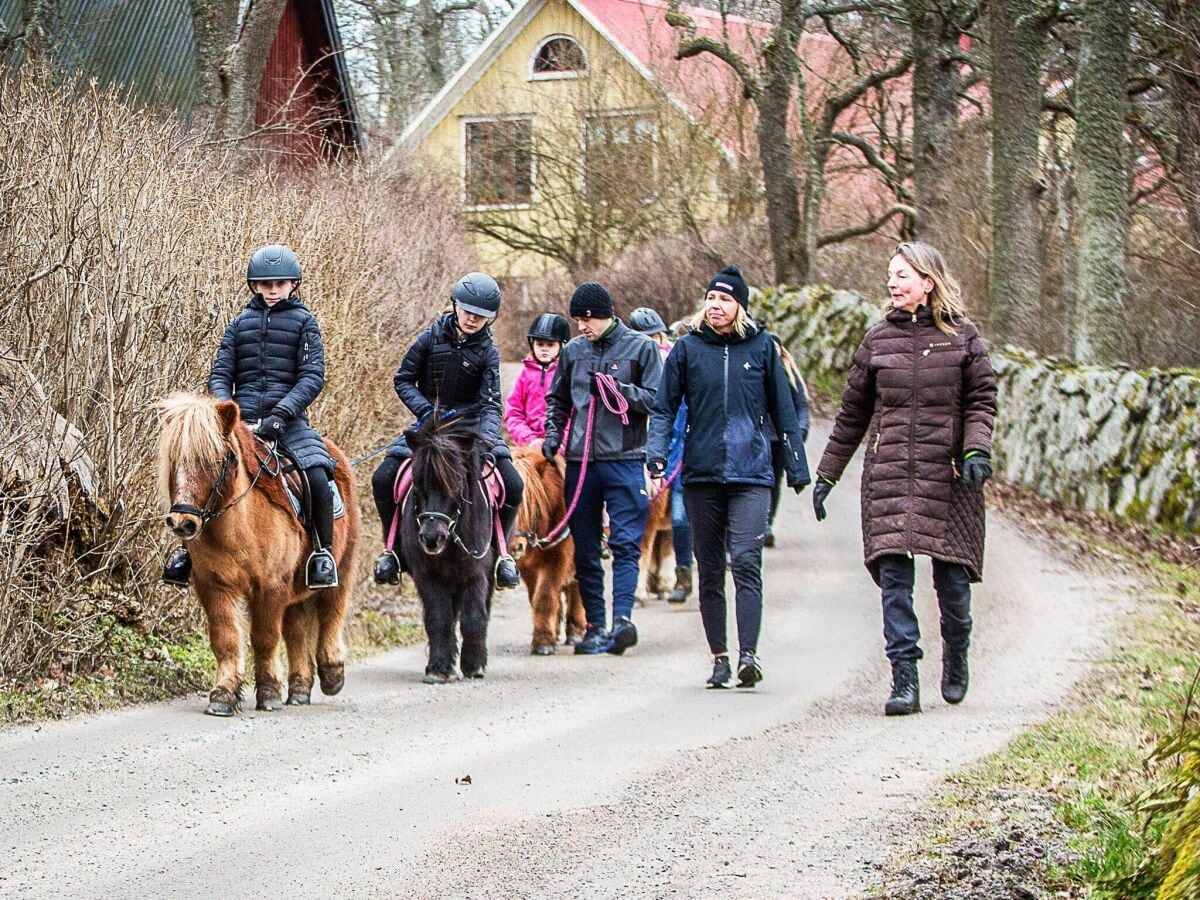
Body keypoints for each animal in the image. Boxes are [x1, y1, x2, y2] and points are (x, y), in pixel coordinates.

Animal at [152, 393, 355, 720]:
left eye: (215, 460)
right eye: (173, 460)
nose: (182, 522)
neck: (238, 528)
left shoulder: (271, 586)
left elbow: (264, 638)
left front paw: (269, 693)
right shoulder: (214, 586)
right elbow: (225, 640)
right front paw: (223, 695)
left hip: (342, 566)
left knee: (332, 613)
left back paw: (332, 674)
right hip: (294, 590)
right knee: (297, 631)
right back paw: (299, 690)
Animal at [403, 415, 496, 681]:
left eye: (456, 484)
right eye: (417, 482)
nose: (432, 538)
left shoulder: (476, 573)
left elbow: (474, 617)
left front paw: (474, 665)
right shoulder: (427, 575)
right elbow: (439, 618)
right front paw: (439, 668)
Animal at [508, 448, 583, 657]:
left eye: (533, 505)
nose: (514, 547)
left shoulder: (558, 558)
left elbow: (545, 597)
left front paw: (543, 643)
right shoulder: (527, 567)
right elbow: (536, 596)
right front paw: (548, 634)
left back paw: (576, 631)